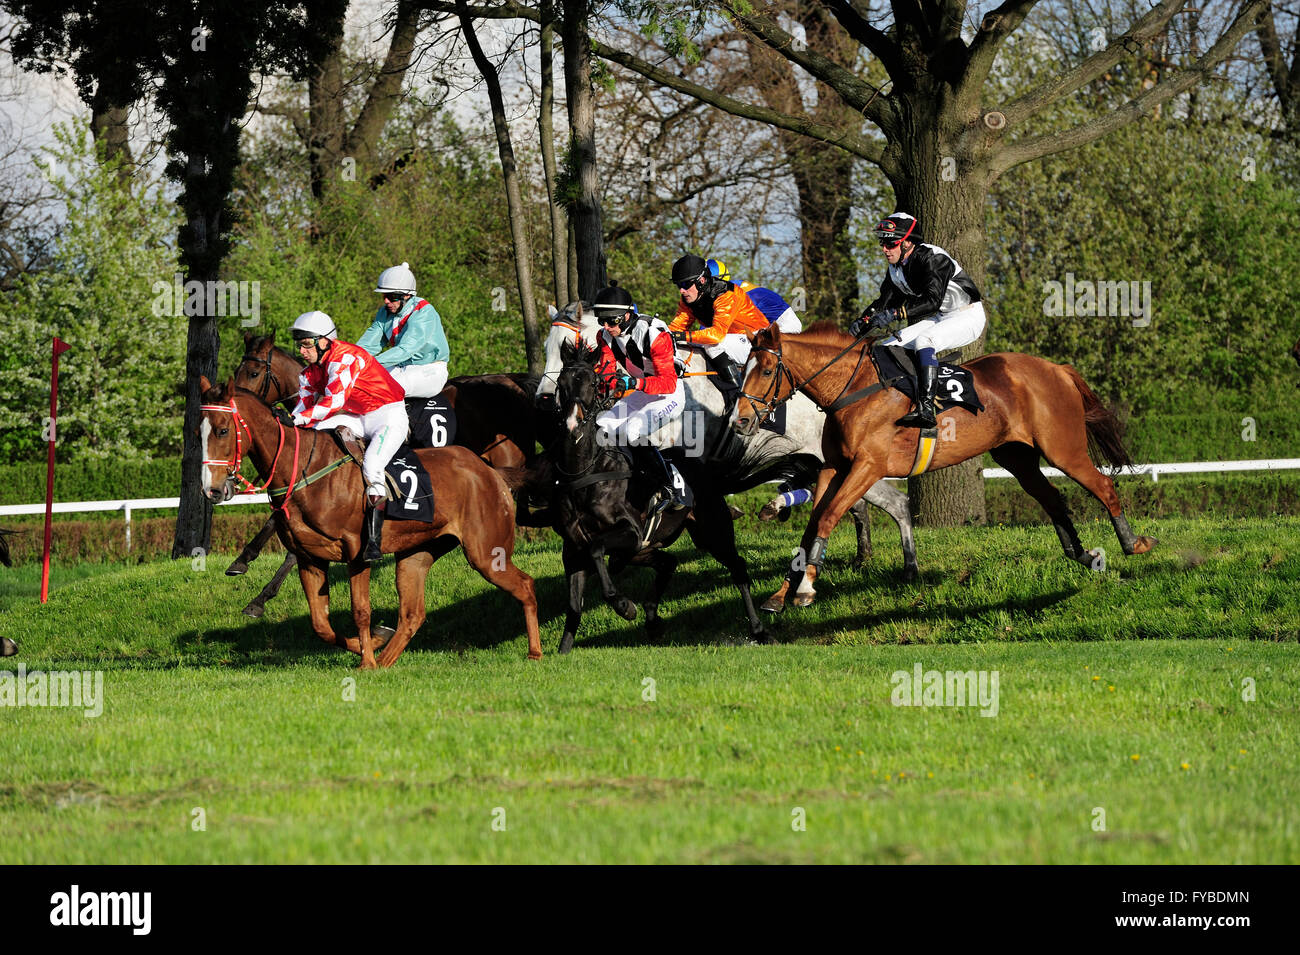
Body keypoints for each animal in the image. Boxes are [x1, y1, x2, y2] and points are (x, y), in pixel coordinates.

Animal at [195, 374, 540, 665]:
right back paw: (387, 659)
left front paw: (367, 661)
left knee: (525, 585)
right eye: (199, 433)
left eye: (223, 430)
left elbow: (360, 610)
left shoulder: (357, 553)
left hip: (486, 553)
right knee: (413, 614)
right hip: (416, 555)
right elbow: (321, 624)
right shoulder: (309, 558)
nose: (212, 489)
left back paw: (534, 651)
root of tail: (491, 472)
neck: (307, 470)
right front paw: (374, 644)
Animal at [548, 345, 769, 657]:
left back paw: (759, 629)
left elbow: (597, 549)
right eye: (561, 383)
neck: (586, 472)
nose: (571, 424)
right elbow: (573, 606)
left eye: (592, 382)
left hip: (713, 532)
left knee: (737, 569)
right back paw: (652, 621)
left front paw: (625, 607)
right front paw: (563, 650)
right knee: (668, 563)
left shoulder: (629, 532)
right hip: (649, 547)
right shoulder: (573, 549)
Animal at [733, 324, 1159, 613]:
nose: (740, 422)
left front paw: (805, 589)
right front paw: (781, 594)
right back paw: (1082, 554)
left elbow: (827, 518)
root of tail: (1057, 368)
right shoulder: (833, 468)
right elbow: (810, 529)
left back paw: (1132, 543)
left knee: (1103, 486)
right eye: (742, 370)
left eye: (766, 370)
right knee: (1052, 497)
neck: (852, 390)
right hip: (1016, 456)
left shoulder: (868, 466)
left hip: (1062, 448)